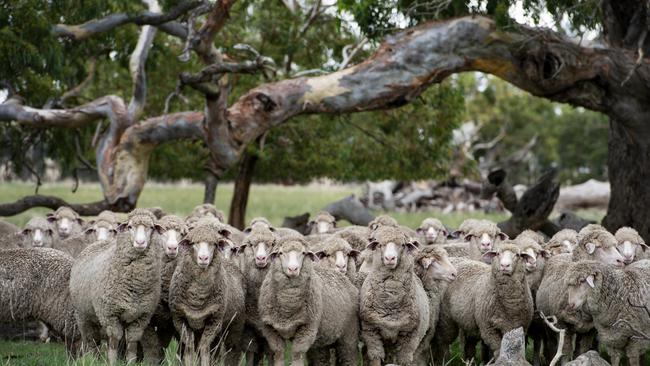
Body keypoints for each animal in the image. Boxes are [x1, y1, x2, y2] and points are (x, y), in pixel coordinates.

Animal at [68, 207, 163, 364]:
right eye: (130, 227)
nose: (140, 242)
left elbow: (131, 344)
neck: (135, 285)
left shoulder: (140, 318)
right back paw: (92, 359)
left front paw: (130, 362)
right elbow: (113, 341)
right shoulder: (110, 315)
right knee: (90, 340)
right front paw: (112, 362)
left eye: (151, 227)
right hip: (83, 315)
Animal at [168, 220, 244, 366]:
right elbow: (189, 346)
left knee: (228, 349)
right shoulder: (179, 318)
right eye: (194, 243)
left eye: (214, 244)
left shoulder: (214, 320)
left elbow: (204, 347)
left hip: (233, 325)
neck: (198, 298)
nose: (204, 258)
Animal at [258, 234, 360, 366]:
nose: (293, 269)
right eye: (280, 253)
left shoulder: (307, 330)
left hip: (349, 334)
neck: (288, 307)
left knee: (348, 357)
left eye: (303, 253)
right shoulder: (271, 330)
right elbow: (279, 354)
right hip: (324, 337)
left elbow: (297, 355)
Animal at [356, 226, 428, 366]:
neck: (390, 301)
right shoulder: (371, 332)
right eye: (379, 244)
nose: (390, 258)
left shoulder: (409, 336)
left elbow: (403, 361)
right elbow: (375, 358)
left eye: (403, 245)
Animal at [532, 224, 624, 364]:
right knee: (552, 345)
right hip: (548, 324)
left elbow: (582, 351)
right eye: (602, 248)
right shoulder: (562, 325)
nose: (622, 261)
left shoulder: (590, 330)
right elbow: (565, 353)